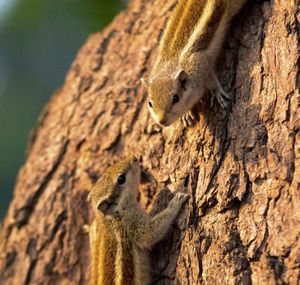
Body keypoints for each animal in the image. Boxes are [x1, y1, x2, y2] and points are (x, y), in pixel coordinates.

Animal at [88, 155, 189, 284]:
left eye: (109, 169)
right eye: (121, 178)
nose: (134, 157)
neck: (107, 218)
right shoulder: (131, 221)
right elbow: (147, 235)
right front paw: (175, 203)